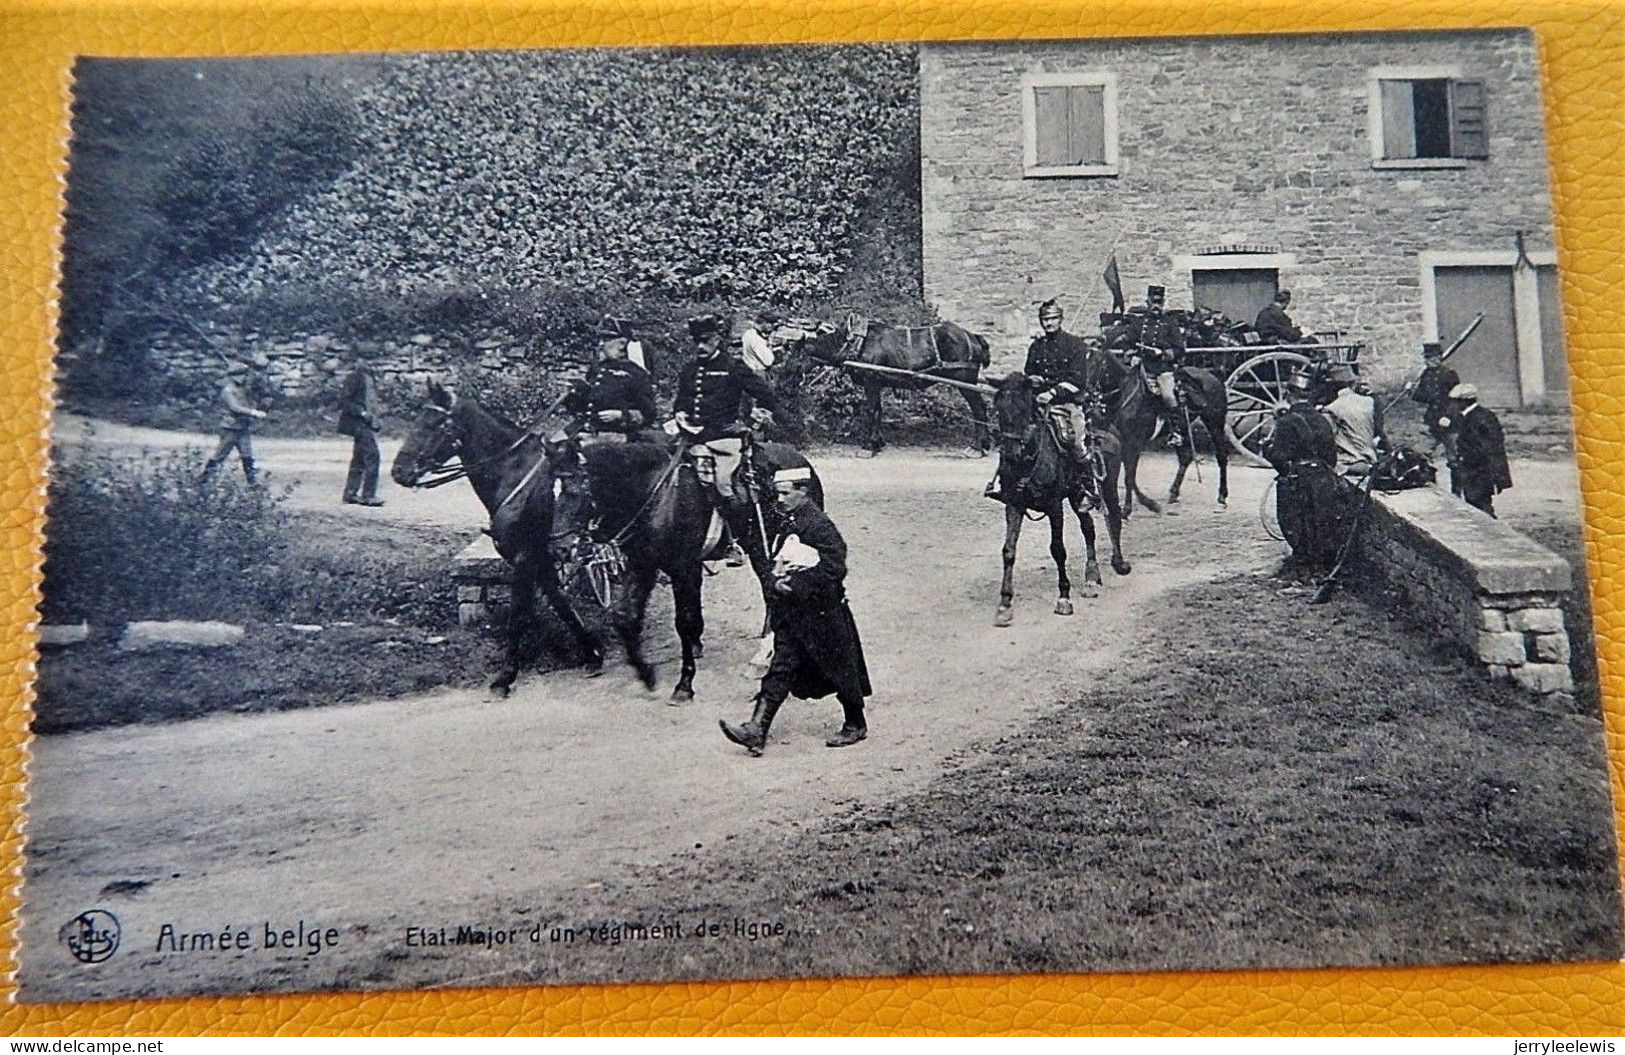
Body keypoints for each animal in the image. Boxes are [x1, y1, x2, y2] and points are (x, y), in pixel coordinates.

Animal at [391, 382, 604, 695]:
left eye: (433, 424)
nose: (398, 472)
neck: (515, 477)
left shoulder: (525, 558)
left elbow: (518, 615)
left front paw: (506, 675)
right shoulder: (540, 557)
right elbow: (559, 603)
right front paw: (591, 651)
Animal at [555, 435, 825, 698]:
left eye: (575, 492)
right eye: (551, 493)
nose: (560, 547)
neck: (658, 496)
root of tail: (801, 461)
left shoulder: (681, 569)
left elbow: (682, 622)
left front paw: (684, 683)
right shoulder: (644, 566)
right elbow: (625, 619)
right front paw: (647, 674)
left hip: (765, 545)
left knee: (772, 590)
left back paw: (763, 657)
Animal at [796, 316, 994, 455]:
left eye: (794, 352)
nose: (795, 375)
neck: (854, 343)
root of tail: (973, 337)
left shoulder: (871, 382)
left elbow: (872, 410)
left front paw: (870, 446)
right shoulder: (877, 384)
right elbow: (878, 410)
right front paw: (878, 442)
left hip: (965, 381)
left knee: (979, 409)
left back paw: (977, 447)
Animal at [988, 373, 1131, 624]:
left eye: (1025, 408)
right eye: (1000, 408)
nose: (1011, 454)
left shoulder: (1055, 507)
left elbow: (1058, 550)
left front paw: (1064, 598)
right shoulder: (1014, 504)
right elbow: (1008, 550)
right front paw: (1005, 603)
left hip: (1107, 488)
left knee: (1113, 519)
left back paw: (1118, 563)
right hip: (1076, 497)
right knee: (1089, 528)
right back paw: (1091, 578)